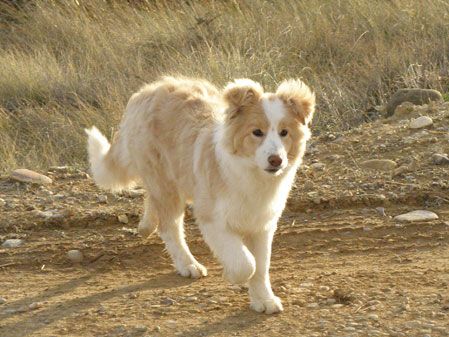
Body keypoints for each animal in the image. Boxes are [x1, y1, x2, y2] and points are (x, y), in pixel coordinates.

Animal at [85, 75, 316, 312]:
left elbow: (261, 267)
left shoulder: (262, 225)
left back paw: (146, 225)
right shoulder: (212, 218)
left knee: (152, 201)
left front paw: (265, 300)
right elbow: (245, 263)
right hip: (165, 184)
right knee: (169, 227)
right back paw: (188, 264)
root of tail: (146, 91)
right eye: (257, 132)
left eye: (284, 132)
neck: (251, 174)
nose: (276, 160)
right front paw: (233, 276)